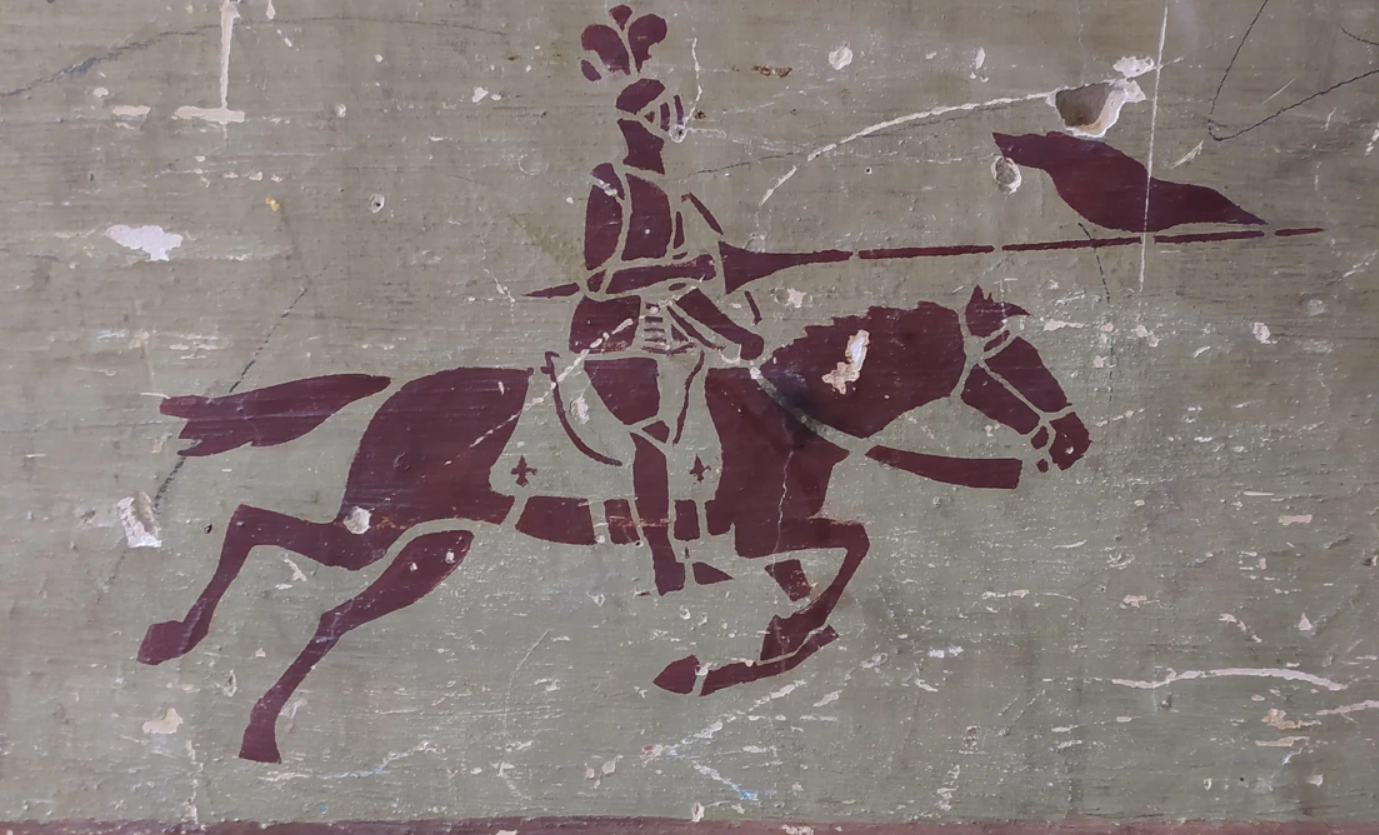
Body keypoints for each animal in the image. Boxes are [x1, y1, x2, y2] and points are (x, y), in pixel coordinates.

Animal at [137, 286, 1090, 763]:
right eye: (1019, 362)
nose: (1075, 439)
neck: (792, 407)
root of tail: (401, 385)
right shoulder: (757, 531)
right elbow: (853, 545)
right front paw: (756, 648)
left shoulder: (769, 538)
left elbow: (819, 576)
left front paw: (752, 651)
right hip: (383, 520)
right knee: (250, 520)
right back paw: (175, 641)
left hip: (437, 542)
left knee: (329, 606)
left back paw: (255, 730)